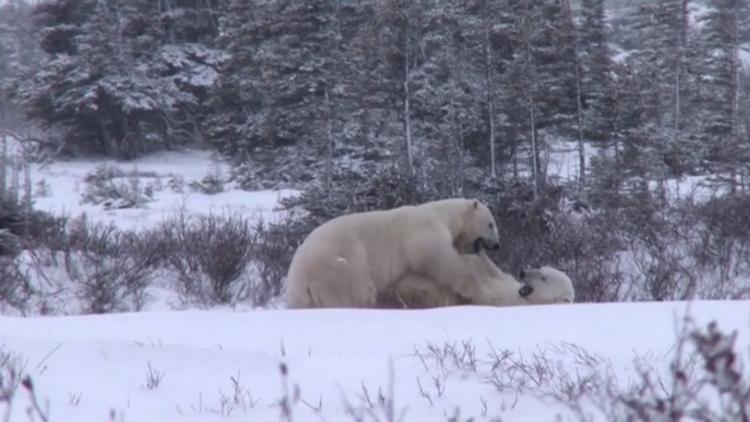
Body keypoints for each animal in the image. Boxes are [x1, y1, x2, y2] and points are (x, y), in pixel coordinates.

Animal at [284, 199, 502, 308]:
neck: (444, 215)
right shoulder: (423, 232)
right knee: (357, 293)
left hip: (298, 294)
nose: (497, 245)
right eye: (491, 224)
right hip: (339, 267)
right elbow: (438, 259)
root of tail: (301, 277)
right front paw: (475, 291)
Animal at [382, 249, 576, 308]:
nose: (523, 272)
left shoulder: (501, 300)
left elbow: (482, 288)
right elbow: (494, 272)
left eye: (543, 278)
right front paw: (480, 251)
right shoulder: (507, 283)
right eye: (541, 267)